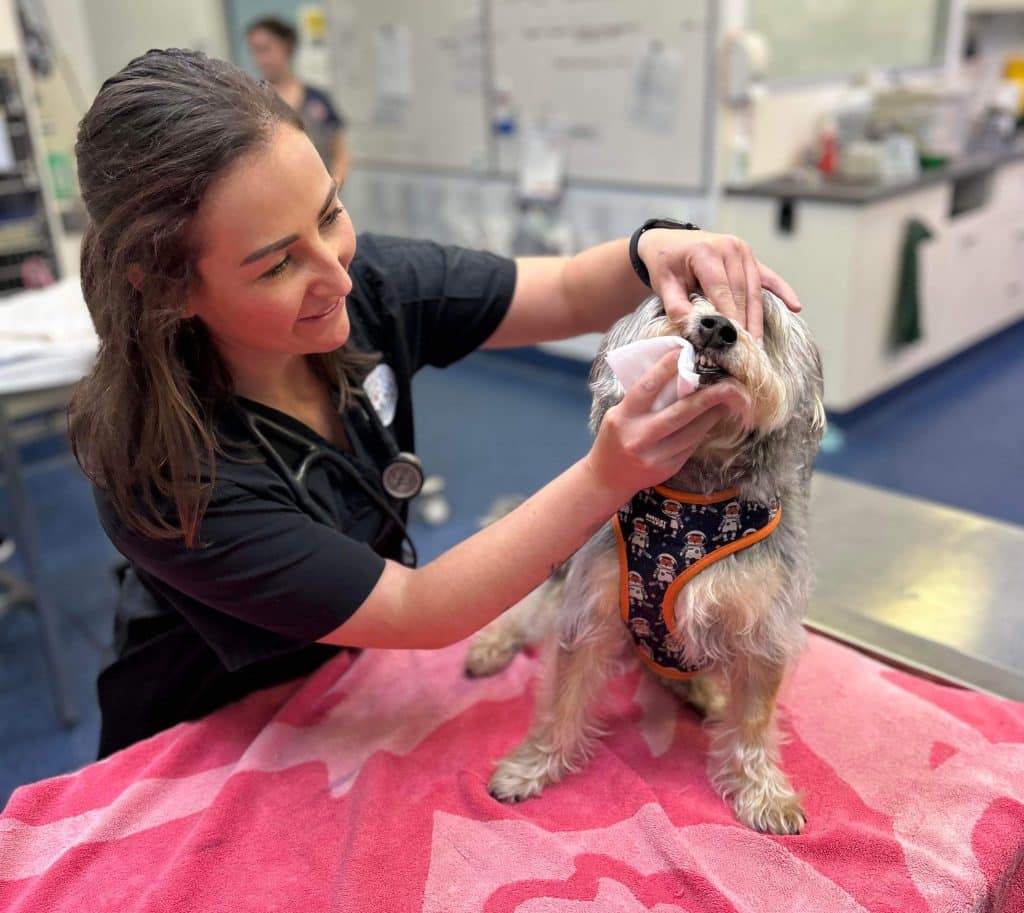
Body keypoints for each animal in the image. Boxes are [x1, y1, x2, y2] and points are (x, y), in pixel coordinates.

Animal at [464, 290, 823, 835]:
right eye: (679, 299)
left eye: (757, 317)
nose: (717, 326)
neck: (697, 492)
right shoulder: (589, 609)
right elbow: (563, 699)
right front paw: (532, 767)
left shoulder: (763, 631)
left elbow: (755, 722)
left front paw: (764, 793)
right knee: (523, 616)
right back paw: (490, 647)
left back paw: (706, 694)